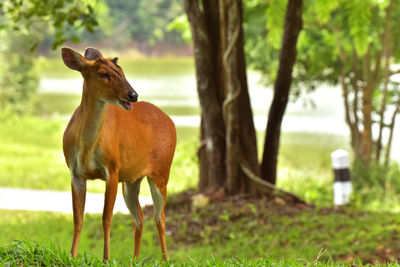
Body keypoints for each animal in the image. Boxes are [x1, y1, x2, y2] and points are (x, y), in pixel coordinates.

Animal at [61, 47, 177, 260]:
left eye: (121, 71)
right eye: (103, 74)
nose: (133, 95)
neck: (86, 148)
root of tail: (170, 120)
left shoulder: (112, 169)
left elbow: (106, 218)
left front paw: (106, 258)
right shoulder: (75, 173)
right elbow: (77, 219)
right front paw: (72, 255)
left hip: (161, 172)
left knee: (160, 216)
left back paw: (165, 260)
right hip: (132, 180)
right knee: (139, 217)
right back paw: (135, 259)